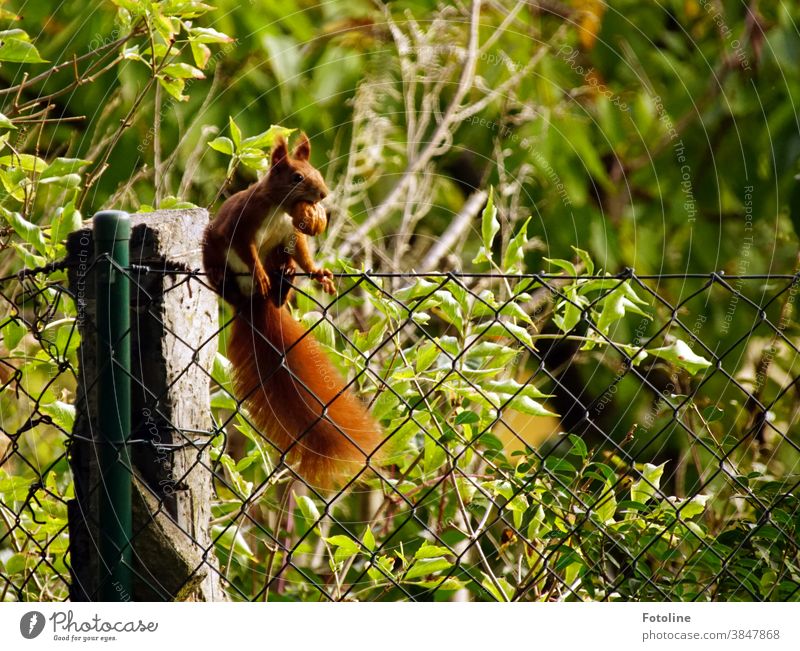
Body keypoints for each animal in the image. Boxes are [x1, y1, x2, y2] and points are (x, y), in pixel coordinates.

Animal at [205, 135, 382, 486]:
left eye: (317, 172)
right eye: (297, 177)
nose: (323, 194)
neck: (278, 211)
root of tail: (251, 304)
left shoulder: (292, 233)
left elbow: (302, 251)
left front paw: (317, 273)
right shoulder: (242, 224)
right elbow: (246, 249)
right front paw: (259, 272)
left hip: (278, 257)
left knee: (283, 270)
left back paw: (284, 282)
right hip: (212, 246)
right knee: (222, 271)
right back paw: (226, 277)